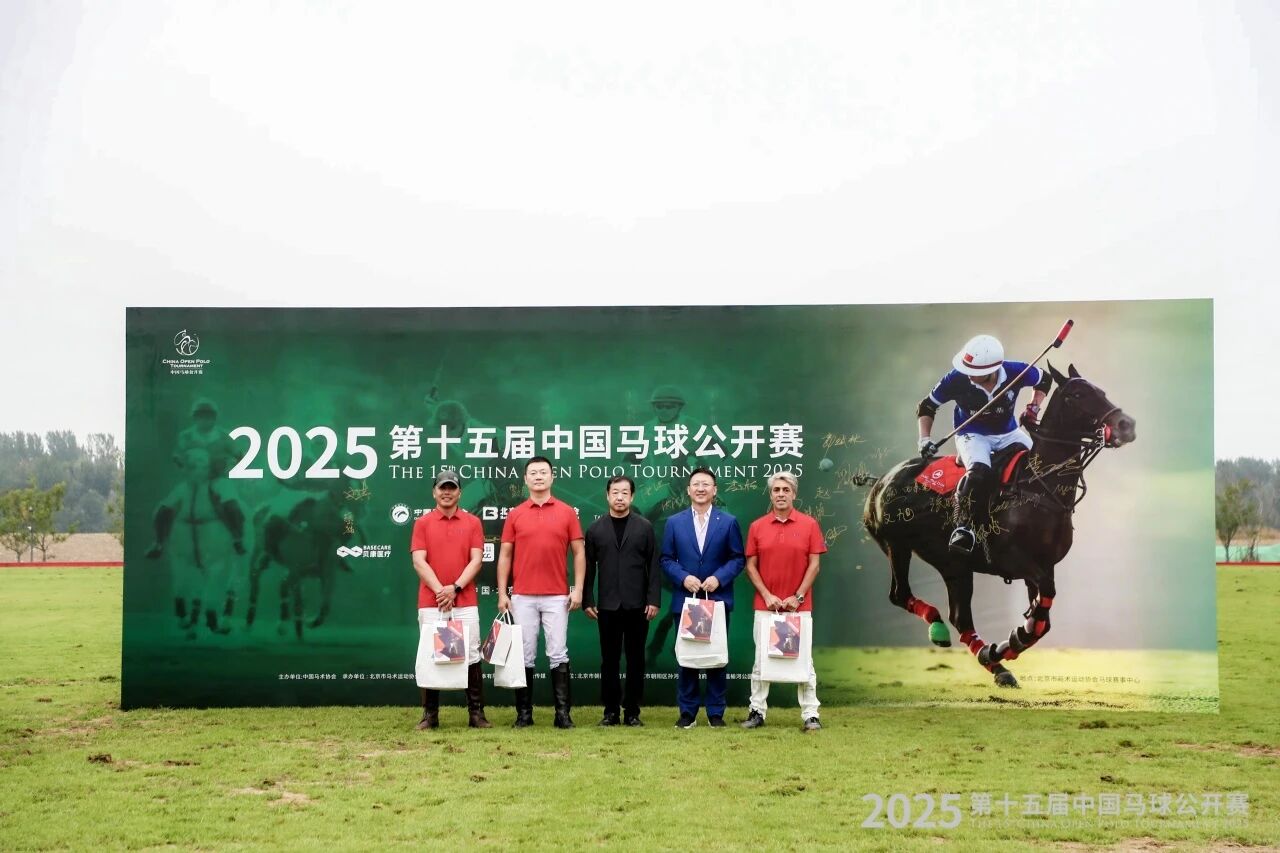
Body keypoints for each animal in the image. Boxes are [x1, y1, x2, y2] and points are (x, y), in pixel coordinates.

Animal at [861, 363, 1137, 687]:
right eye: (1077, 395)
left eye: (1101, 392)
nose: (1126, 425)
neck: (1040, 485)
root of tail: (881, 480)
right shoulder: (1013, 559)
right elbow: (1044, 605)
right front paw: (1014, 639)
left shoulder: (1044, 565)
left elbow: (1042, 617)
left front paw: (1009, 643)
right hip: (897, 545)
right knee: (901, 594)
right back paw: (941, 627)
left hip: (953, 564)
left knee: (960, 617)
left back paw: (994, 663)